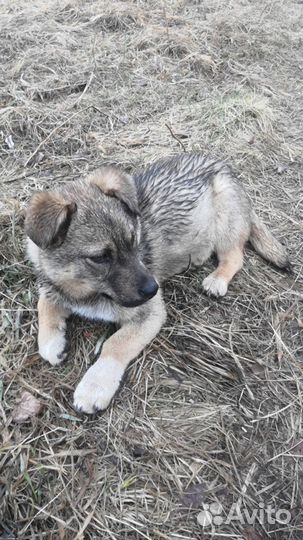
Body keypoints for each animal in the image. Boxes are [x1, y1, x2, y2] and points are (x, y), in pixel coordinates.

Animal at [25, 154, 290, 412]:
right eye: (100, 258)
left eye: (134, 239)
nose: (153, 289)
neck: (85, 291)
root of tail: (223, 166)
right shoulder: (52, 286)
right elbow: (44, 306)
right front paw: (52, 342)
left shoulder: (150, 314)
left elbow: (115, 344)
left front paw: (95, 386)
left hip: (226, 218)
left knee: (235, 256)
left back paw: (218, 278)